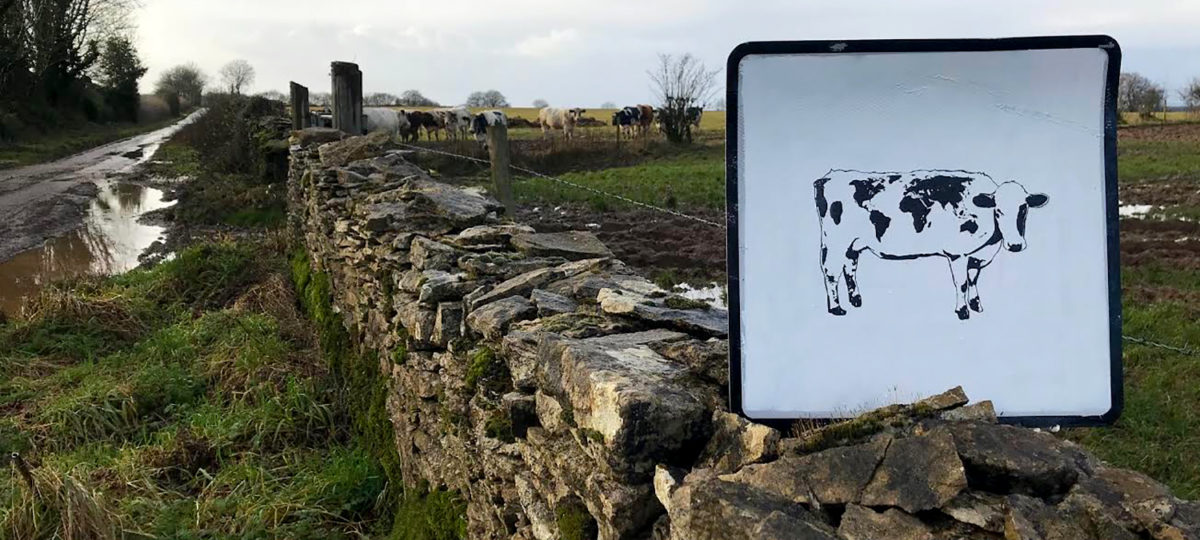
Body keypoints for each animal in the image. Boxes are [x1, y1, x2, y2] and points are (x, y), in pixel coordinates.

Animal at [816, 169, 1051, 319]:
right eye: (999, 210)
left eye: (1024, 209)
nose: (1015, 245)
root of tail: (829, 176)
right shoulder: (957, 253)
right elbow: (962, 283)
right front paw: (962, 311)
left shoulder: (976, 255)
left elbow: (973, 279)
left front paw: (976, 305)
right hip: (834, 241)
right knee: (830, 272)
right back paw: (836, 308)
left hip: (852, 244)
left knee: (850, 267)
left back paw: (856, 299)